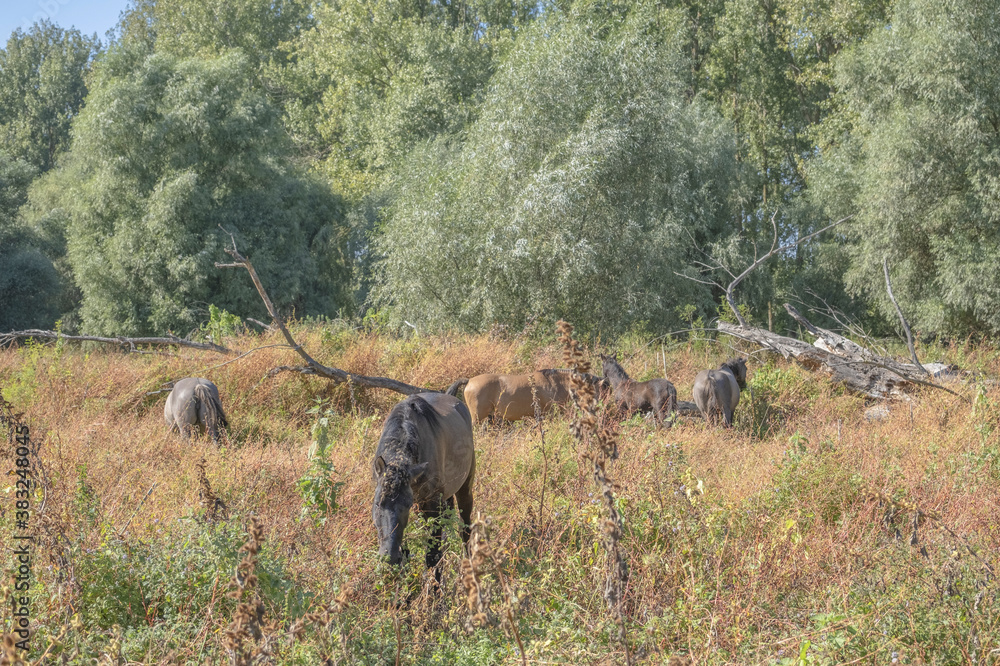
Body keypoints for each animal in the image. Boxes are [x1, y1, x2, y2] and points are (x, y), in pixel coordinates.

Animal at [371, 392, 476, 571]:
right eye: (378, 503)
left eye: (406, 505)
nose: (389, 557)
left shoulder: (433, 505)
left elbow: (433, 556)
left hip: (465, 489)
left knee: (465, 528)